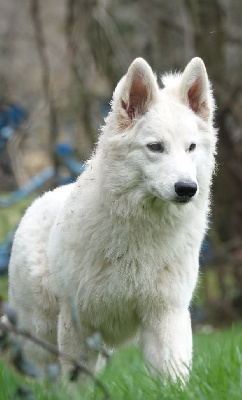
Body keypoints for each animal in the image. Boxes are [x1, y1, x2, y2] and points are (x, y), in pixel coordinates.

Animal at [7, 57, 216, 382]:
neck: (141, 231)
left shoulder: (166, 313)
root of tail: (41, 198)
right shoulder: (76, 323)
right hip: (40, 338)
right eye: (155, 147)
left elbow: (172, 376)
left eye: (191, 147)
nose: (187, 188)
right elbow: (76, 382)